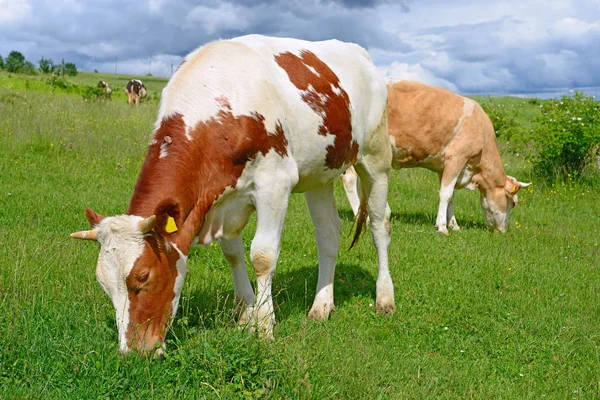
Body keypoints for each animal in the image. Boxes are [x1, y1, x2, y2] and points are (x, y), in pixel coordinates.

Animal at [70, 34, 396, 354]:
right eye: (103, 284)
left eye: (143, 276)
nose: (133, 351)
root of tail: (359, 53)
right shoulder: (222, 202)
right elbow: (233, 254)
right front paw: (245, 315)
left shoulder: (274, 184)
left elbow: (262, 256)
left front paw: (264, 327)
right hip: (319, 174)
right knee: (328, 233)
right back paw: (322, 305)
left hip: (376, 158)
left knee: (379, 224)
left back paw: (384, 297)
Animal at [342, 80, 528, 234]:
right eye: (513, 202)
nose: (504, 230)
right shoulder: (456, 158)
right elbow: (445, 194)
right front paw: (442, 227)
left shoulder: (444, 166)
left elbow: (451, 196)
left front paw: (454, 225)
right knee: (350, 179)